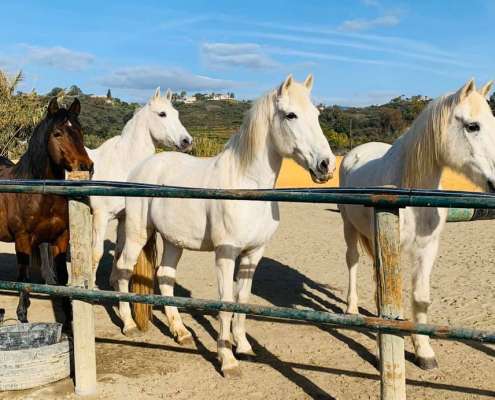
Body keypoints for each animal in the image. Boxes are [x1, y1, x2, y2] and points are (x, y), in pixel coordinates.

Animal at [0, 98, 94, 326]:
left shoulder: (61, 238)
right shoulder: (22, 240)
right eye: (57, 133)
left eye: (80, 130)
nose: (86, 166)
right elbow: (23, 277)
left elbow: (63, 278)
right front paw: (22, 315)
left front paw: (68, 319)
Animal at [87, 86, 192, 284]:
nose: (187, 141)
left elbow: (119, 252)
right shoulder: (100, 216)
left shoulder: (123, 218)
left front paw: (114, 284)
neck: (122, 163)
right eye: (162, 114)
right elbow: (96, 253)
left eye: (177, 114)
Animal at [113, 74, 338, 376]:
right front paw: (227, 360)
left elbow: (242, 300)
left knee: (165, 276)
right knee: (124, 269)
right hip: (138, 232)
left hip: (173, 241)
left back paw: (181, 332)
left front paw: (243, 346)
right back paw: (128, 324)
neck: (246, 185)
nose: (326, 165)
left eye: (317, 115)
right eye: (291, 115)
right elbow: (226, 302)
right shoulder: (226, 253)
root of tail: (144, 165)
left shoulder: (253, 254)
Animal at [340, 79, 495, 370]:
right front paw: (382, 352)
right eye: (473, 126)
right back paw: (351, 309)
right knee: (352, 261)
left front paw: (424, 352)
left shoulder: (427, 248)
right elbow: (384, 297)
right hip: (348, 227)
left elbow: (419, 298)